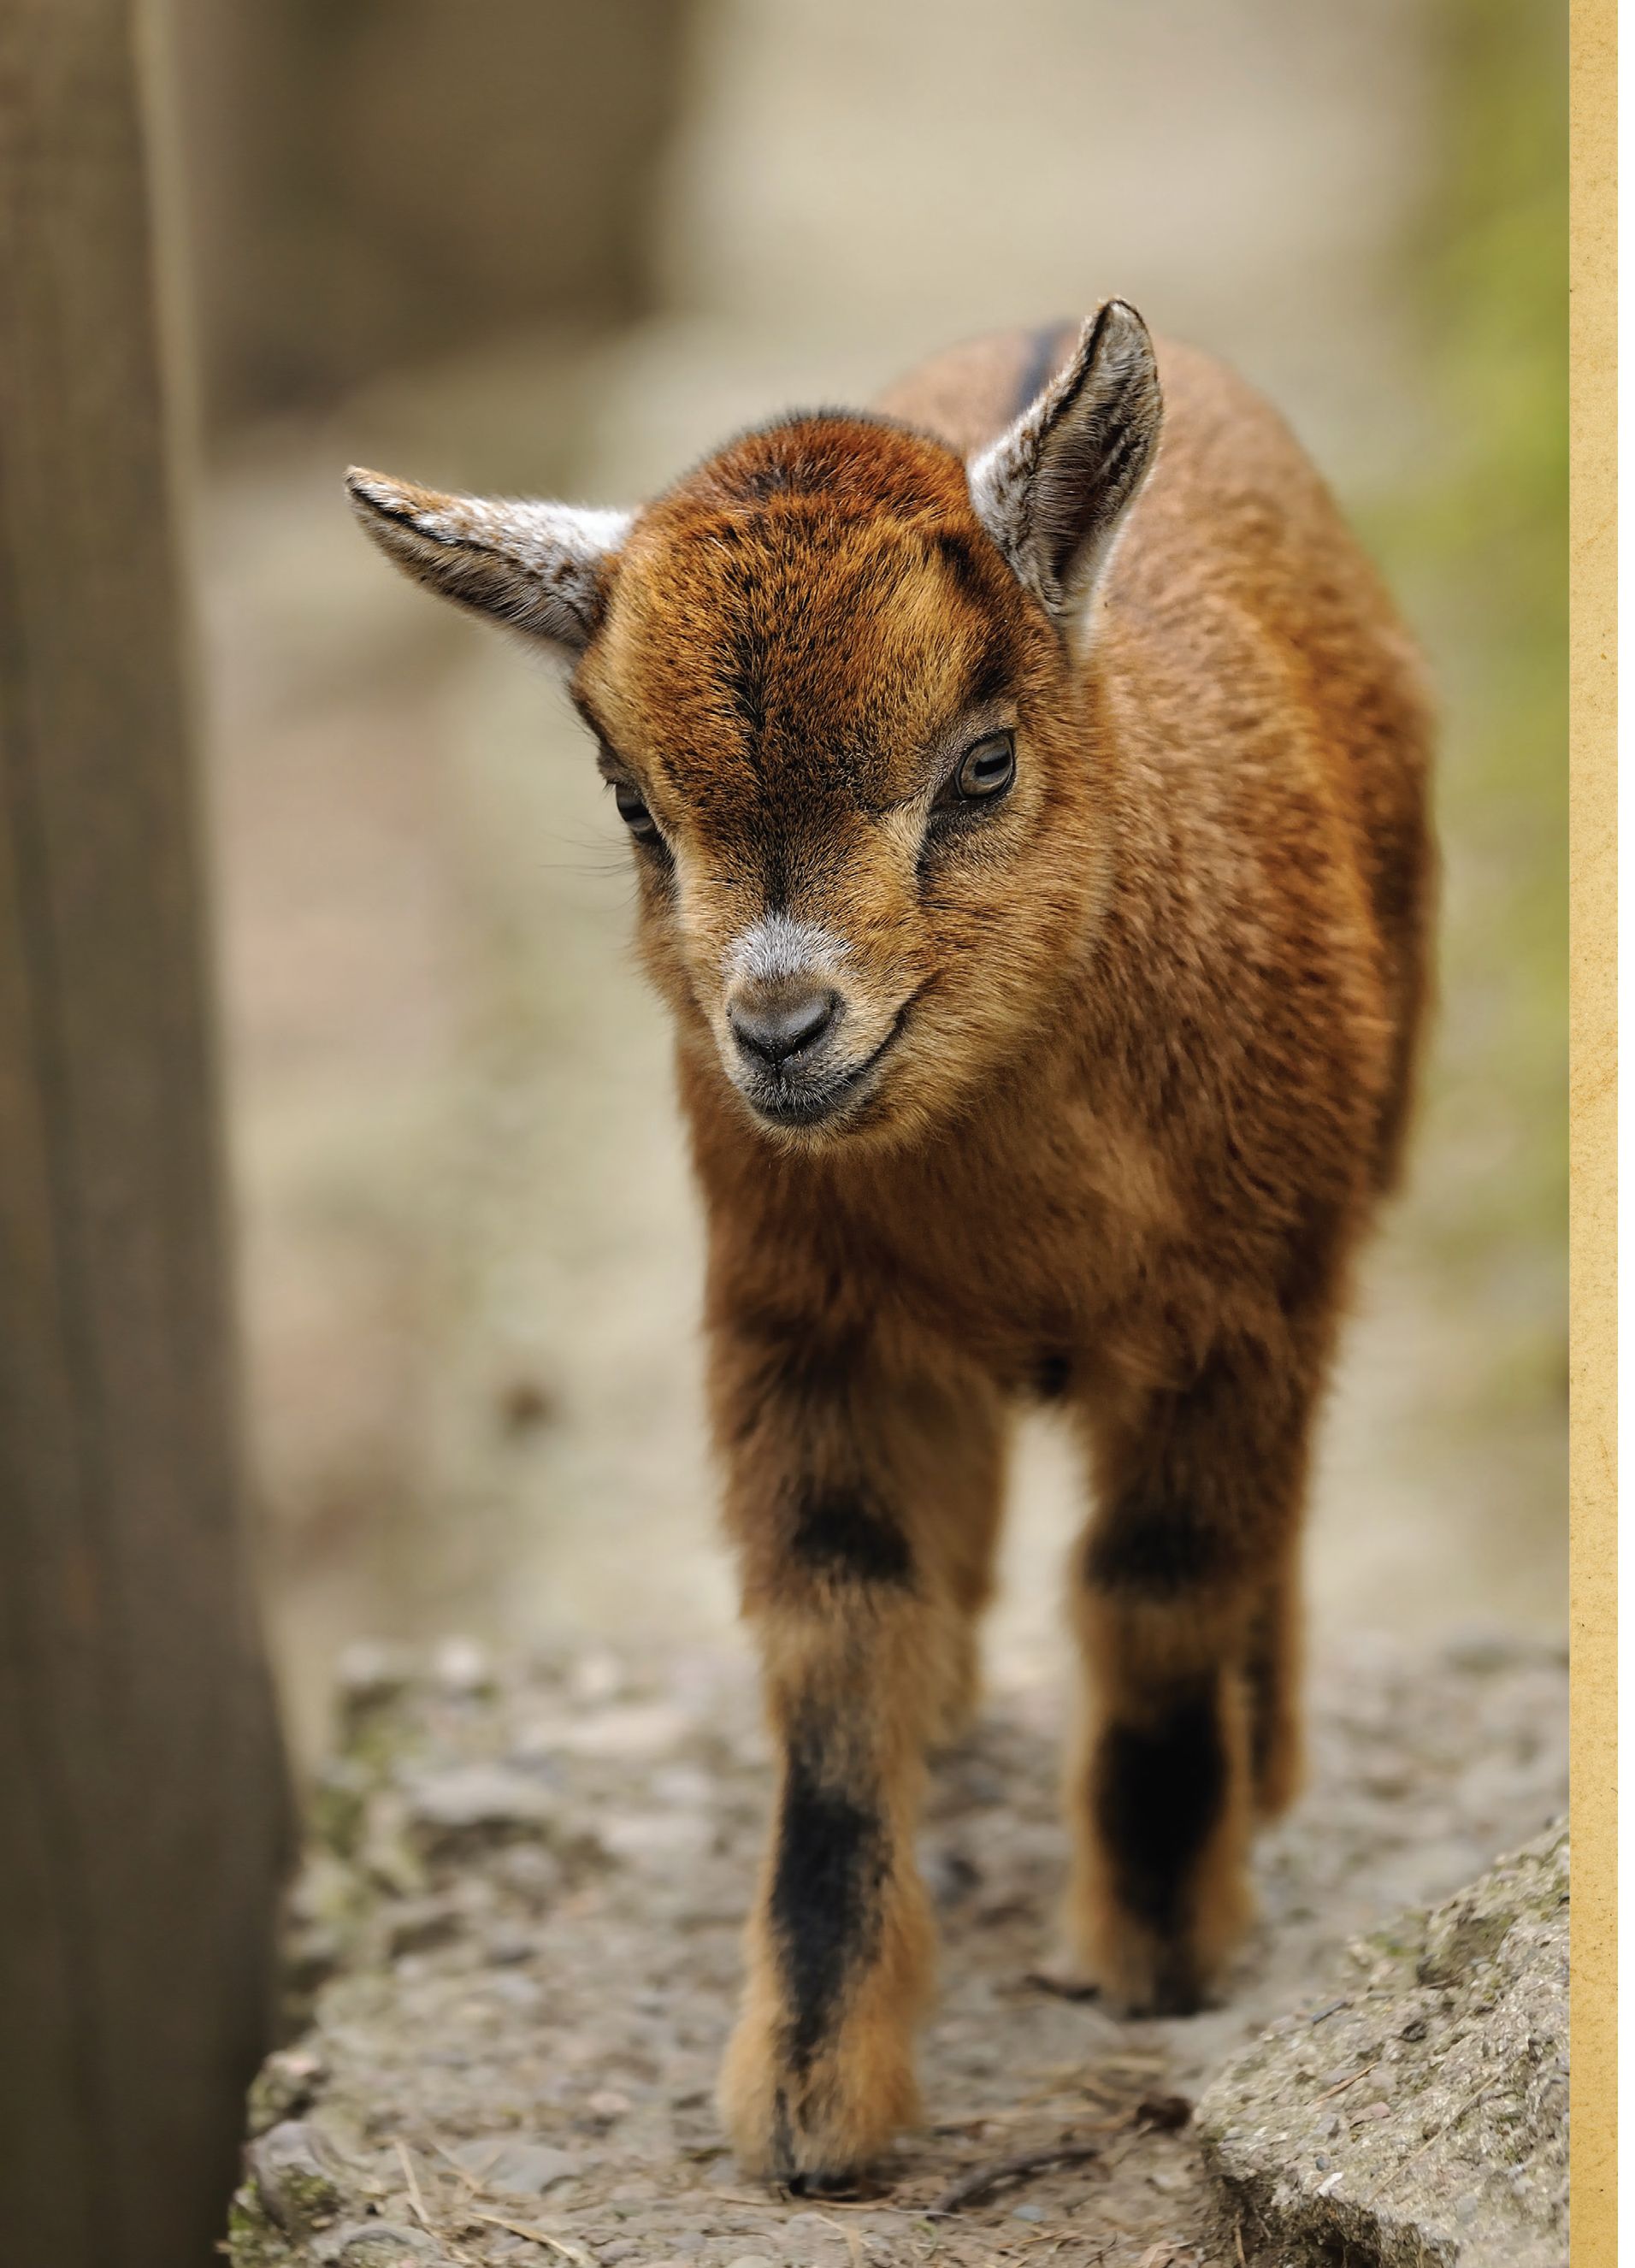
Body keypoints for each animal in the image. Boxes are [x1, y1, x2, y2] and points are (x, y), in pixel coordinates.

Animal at [346, 301, 1432, 2195]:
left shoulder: (1239, 1312)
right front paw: (807, 2101)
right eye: (632, 802)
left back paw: (1272, 1754)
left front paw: (1161, 1952)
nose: (781, 1029)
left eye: (981, 762)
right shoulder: (797, 1327)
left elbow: (1158, 1588)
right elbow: (841, 1643)